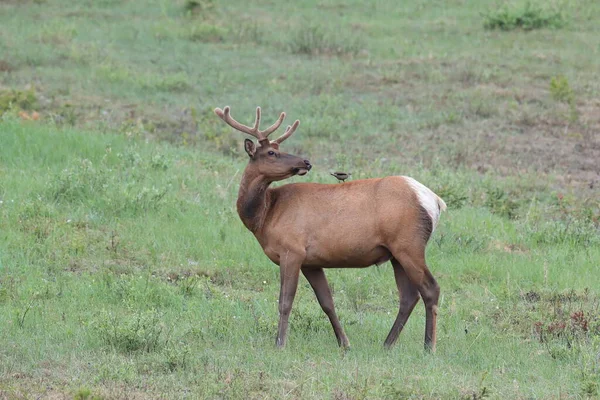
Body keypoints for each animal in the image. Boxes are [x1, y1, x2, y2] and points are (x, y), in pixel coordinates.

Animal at [216, 105, 446, 350]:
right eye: (271, 152)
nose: (305, 162)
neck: (265, 216)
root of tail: (435, 201)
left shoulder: (292, 250)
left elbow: (285, 301)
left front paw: (280, 343)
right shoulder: (311, 262)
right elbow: (327, 302)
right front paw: (344, 343)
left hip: (409, 244)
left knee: (430, 289)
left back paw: (428, 346)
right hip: (396, 253)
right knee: (409, 296)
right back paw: (387, 344)